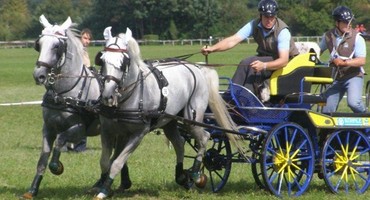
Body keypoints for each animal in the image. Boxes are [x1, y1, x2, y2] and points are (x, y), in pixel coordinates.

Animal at [22, 14, 102, 199]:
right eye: (38, 44)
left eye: (57, 46)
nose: (39, 75)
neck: (65, 94)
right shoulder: (48, 129)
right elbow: (42, 159)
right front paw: (33, 189)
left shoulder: (78, 130)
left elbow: (59, 142)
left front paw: (57, 167)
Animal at [92, 27, 237, 200]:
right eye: (102, 60)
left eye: (123, 62)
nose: (107, 96)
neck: (130, 96)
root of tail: (196, 67)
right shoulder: (110, 131)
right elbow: (105, 161)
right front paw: (104, 184)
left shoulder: (138, 134)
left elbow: (117, 162)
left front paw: (104, 190)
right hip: (169, 121)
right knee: (179, 142)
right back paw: (181, 176)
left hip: (192, 118)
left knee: (204, 137)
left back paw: (195, 174)